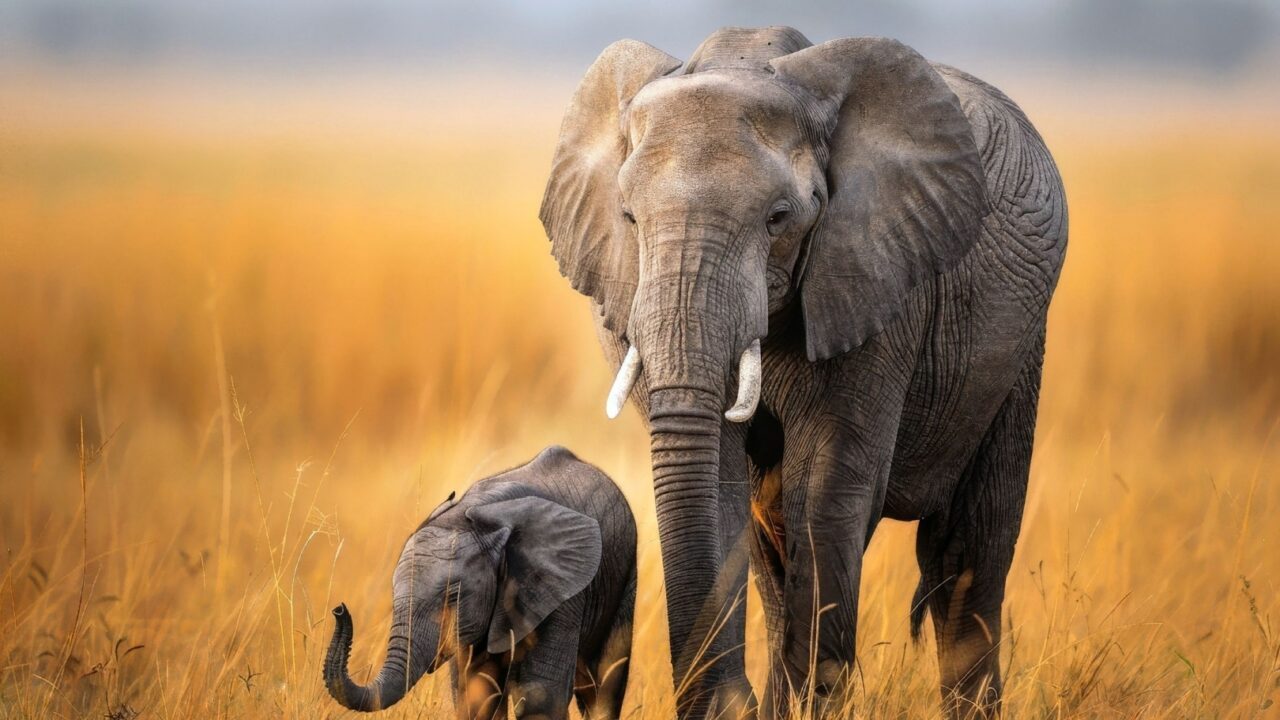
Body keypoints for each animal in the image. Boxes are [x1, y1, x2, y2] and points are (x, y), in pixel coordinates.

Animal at [323, 446, 637, 720]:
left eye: (453, 596)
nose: (339, 609)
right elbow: (476, 698)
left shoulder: (560, 592)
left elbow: (540, 700)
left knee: (604, 685)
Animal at [539, 26, 1066, 719]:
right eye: (627, 217)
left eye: (779, 218)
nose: (731, 699)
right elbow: (722, 484)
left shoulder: (876, 283)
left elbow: (825, 491)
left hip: (1020, 345)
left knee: (968, 554)